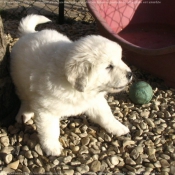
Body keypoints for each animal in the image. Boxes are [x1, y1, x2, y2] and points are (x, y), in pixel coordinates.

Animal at [10, 14, 132, 155]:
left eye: (120, 59)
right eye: (109, 67)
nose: (130, 74)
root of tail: (29, 33)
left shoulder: (94, 101)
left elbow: (105, 115)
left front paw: (118, 127)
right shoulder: (46, 110)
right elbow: (50, 130)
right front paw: (52, 147)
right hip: (19, 79)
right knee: (24, 98)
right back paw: (24, 113)